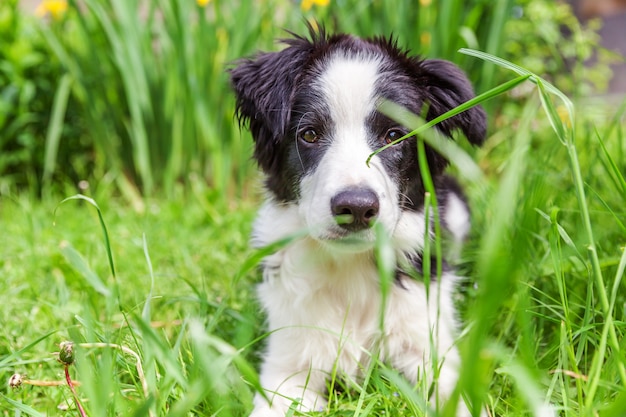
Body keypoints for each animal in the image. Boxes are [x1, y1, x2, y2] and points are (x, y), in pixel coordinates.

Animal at [232, 24, 486, 414]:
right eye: (309, 133)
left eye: (394, 135)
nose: (356, 207)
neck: (350, 269)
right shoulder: (287, 366)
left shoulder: (429, 346)